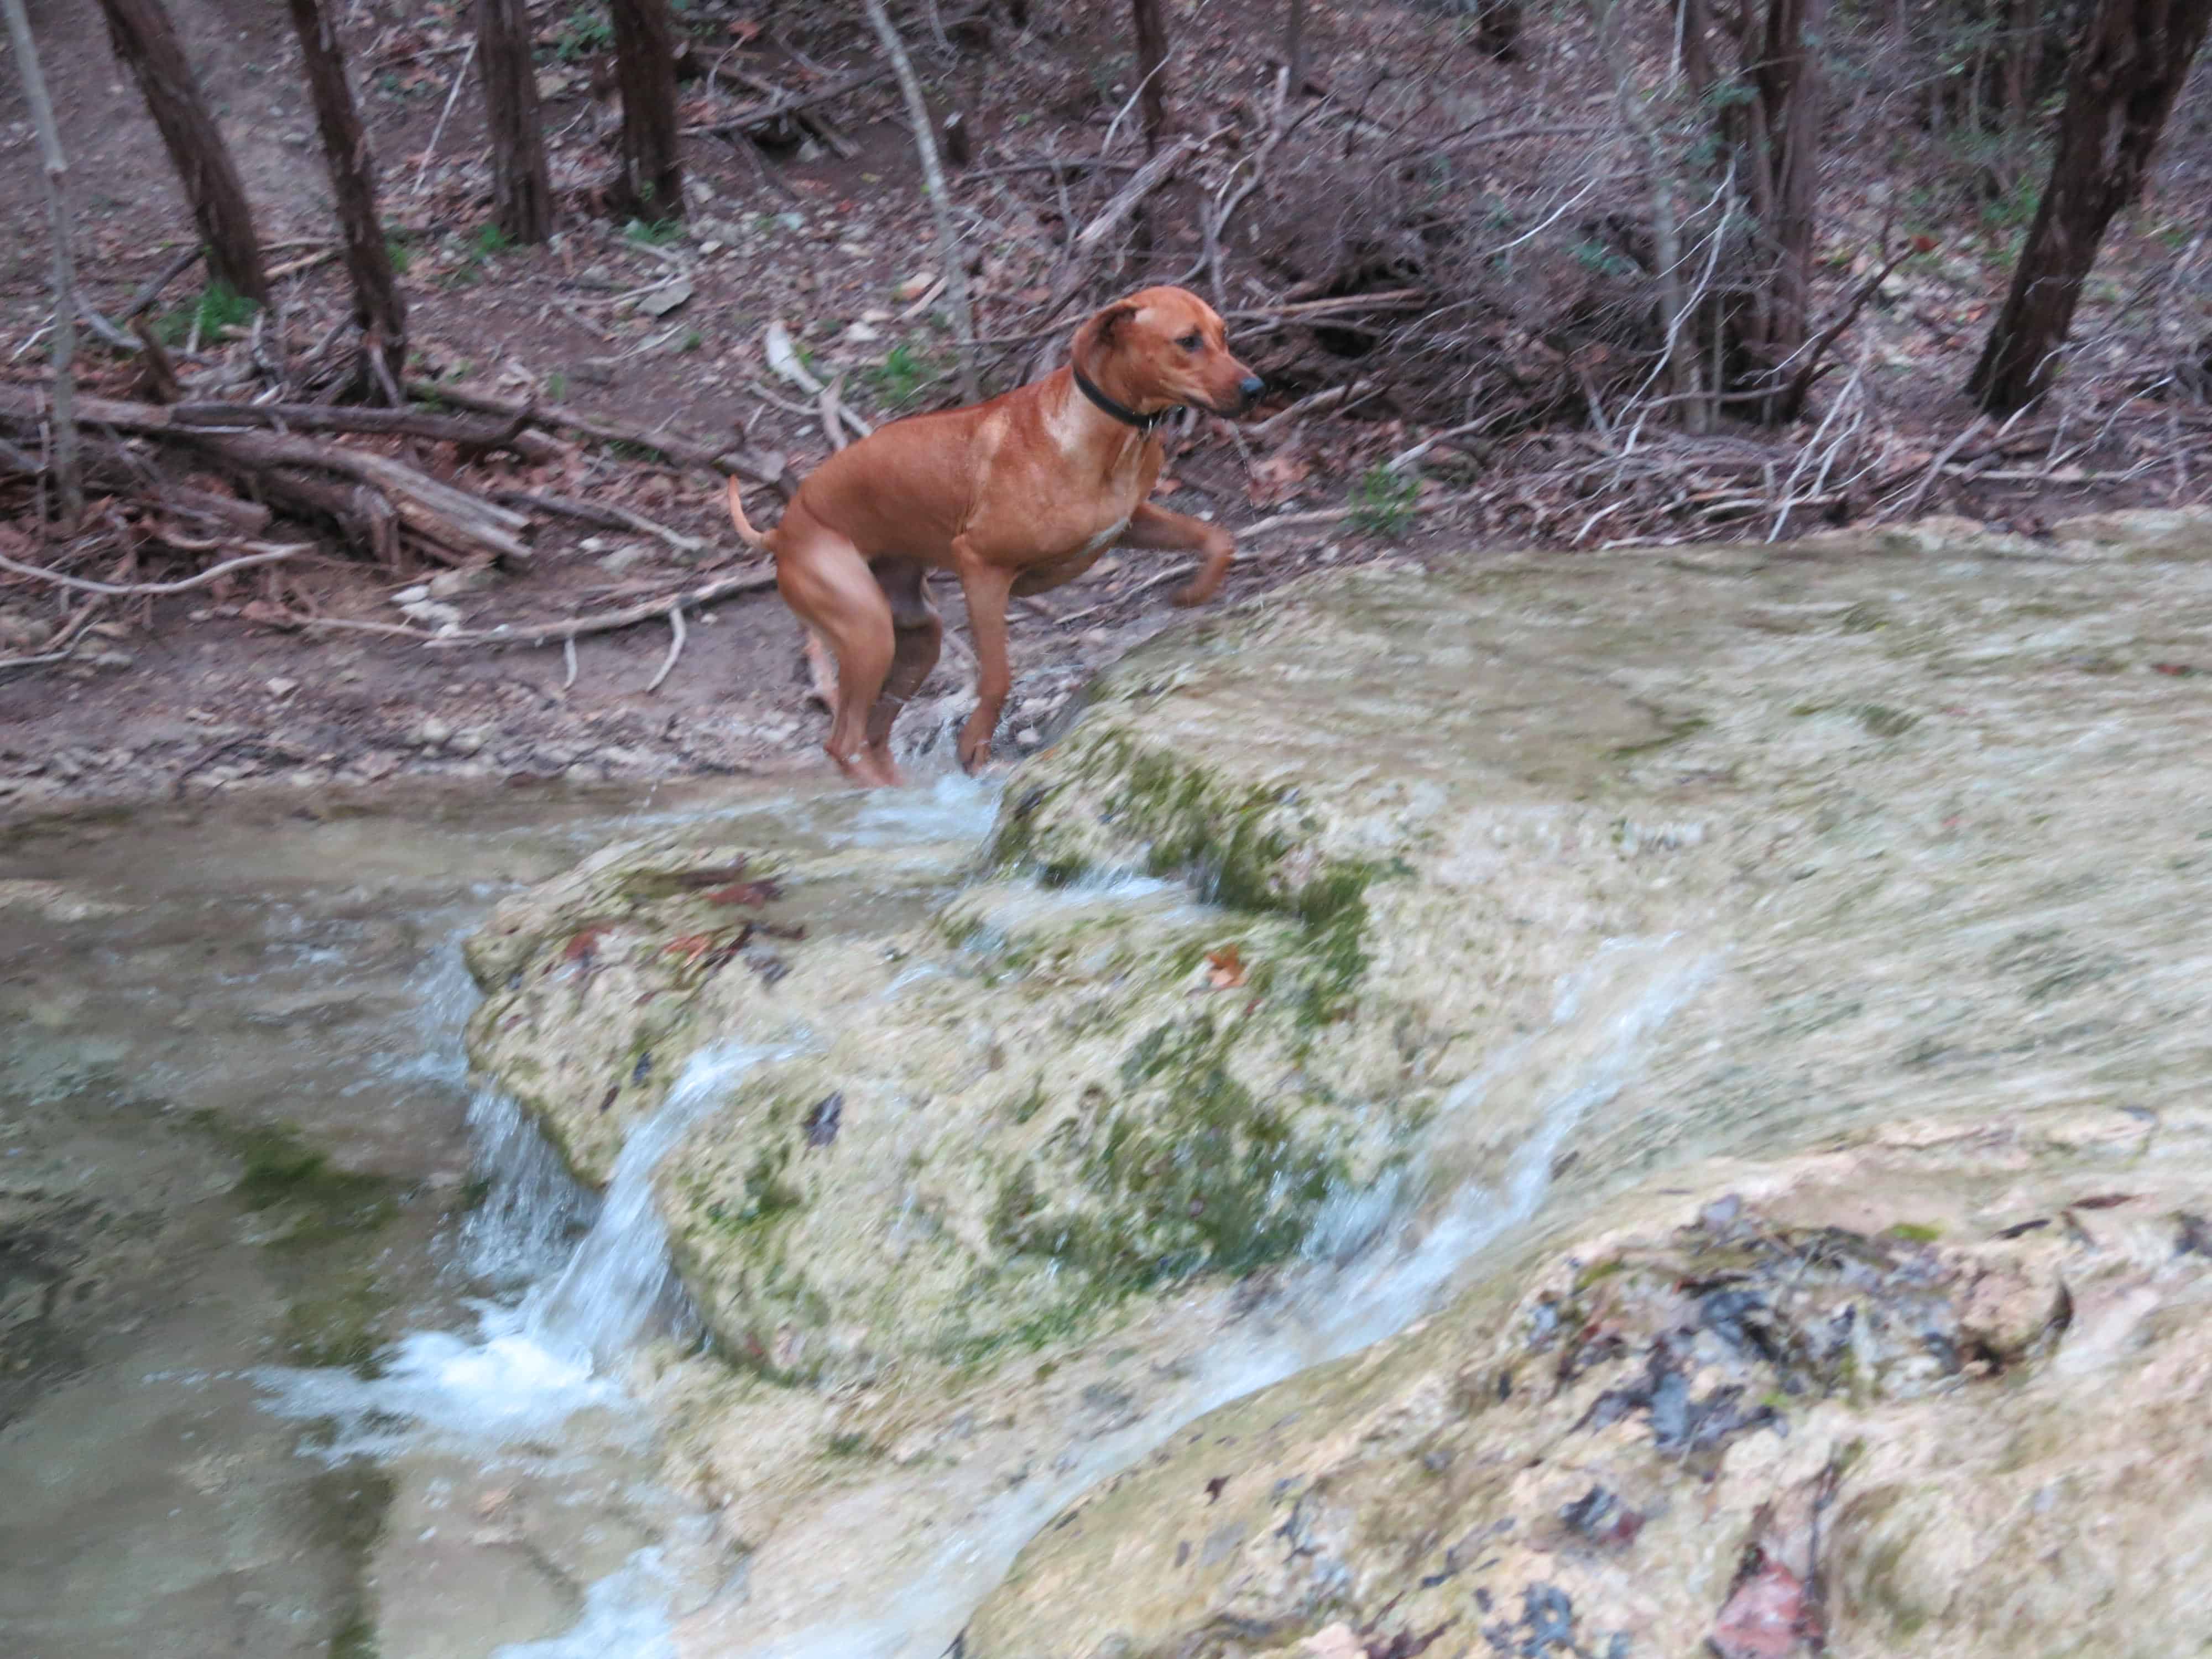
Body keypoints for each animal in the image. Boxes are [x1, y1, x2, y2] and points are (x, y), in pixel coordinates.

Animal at [726, 288, 1265, 792]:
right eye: (1188, 341)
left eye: (1224, 334)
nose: (1257, 388)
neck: (1104, 434)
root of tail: (782, 530)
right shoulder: (981, 568)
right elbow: (998, 677)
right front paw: (973, 746)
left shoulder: (1131, 523)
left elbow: (1218, 538)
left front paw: (1195, 591)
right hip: (867, 632)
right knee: (842, 741)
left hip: (918, 638)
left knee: (875, 734)